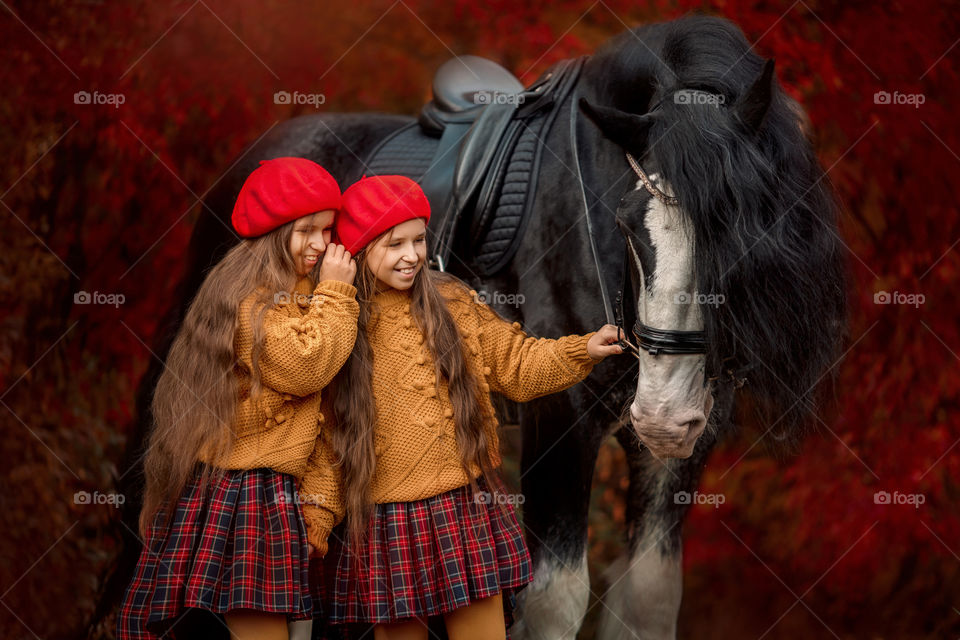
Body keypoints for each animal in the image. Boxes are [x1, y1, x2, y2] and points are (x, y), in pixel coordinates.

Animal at [101, 12, 844, 636]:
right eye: (629, 224)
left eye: (740, 233)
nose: (663, 415)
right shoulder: (559, 419)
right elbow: (554, 601)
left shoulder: (682, 446)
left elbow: (646, 601)